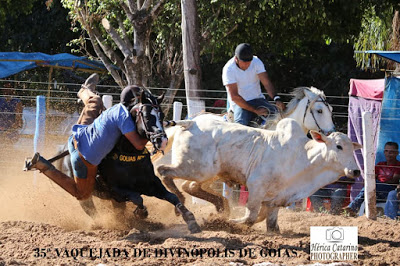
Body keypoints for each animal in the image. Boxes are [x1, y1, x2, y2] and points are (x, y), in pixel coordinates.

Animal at [157, 117, 362, 232]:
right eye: (338, 146)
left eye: (353, 148)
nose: (356, 171)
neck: (302, 157)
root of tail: (190, 122)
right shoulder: (256, 186)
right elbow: (251, 216)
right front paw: (230, 222)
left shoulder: (276, 199)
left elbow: (270, 224)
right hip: (196, 169)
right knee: (163, 172)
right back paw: (181, 203)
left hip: (207, 173)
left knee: (189, 185)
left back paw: (219, 206)